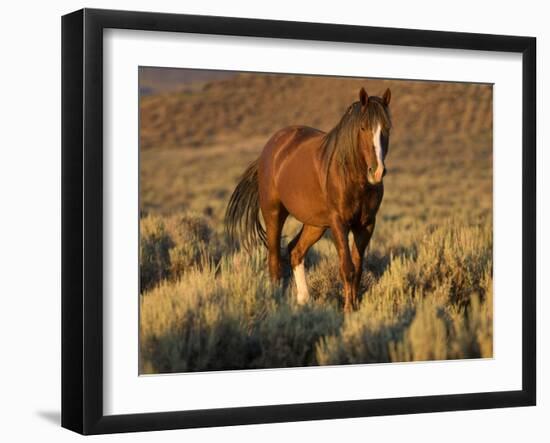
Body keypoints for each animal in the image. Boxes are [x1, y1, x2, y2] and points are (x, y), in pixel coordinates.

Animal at [226, 87, 394, 312]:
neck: (350, 175)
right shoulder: (339, 224)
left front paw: (355, 306)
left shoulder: (366, 225)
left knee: (295, 251)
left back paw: (303, 299)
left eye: (386, 128)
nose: (377, 172)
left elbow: (358, 268)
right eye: (363, 127)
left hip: (315, 225)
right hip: (274, 214)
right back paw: (277, 302)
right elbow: (347, 268)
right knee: (274, 261)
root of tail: (270, 147)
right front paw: (348, 309)